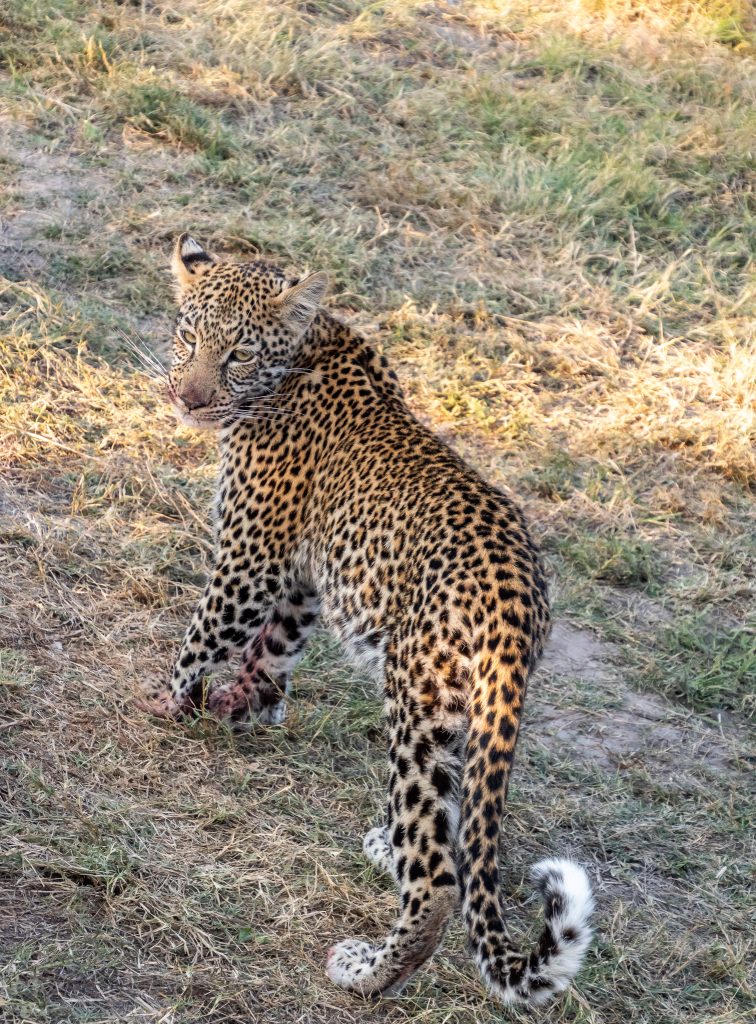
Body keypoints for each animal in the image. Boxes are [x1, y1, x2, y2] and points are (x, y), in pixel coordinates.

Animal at [141, 233, 594, 1007]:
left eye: (237, 354)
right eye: (189, 338)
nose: (187, 399)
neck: (306, 349)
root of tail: (517, 600)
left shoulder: (250, 558)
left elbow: (204, 635)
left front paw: (168, 705)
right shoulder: (300, 575)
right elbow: (274, 650)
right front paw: (243, 707)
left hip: (415, 701)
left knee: (437, 878)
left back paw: (365, 970)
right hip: (461, 722)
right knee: (452, 838)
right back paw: (385, 848)